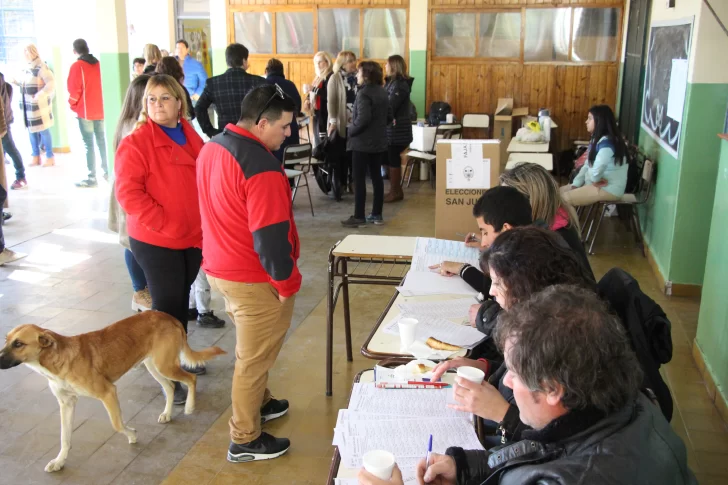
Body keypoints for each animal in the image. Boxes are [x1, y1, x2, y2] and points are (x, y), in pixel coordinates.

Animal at [0, 310, 225, 472]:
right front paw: (59, 461)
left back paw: (189, 407)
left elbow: (117, 424)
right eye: (6, 340)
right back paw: (167, 414)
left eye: (18, 343)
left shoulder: (108, 392)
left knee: (191, 379)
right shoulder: (66, 403)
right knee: (169, 387)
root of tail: (168, 316)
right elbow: (64, 437)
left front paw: (132, 435)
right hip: (154, 366)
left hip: (165, 365)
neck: (57, 361)